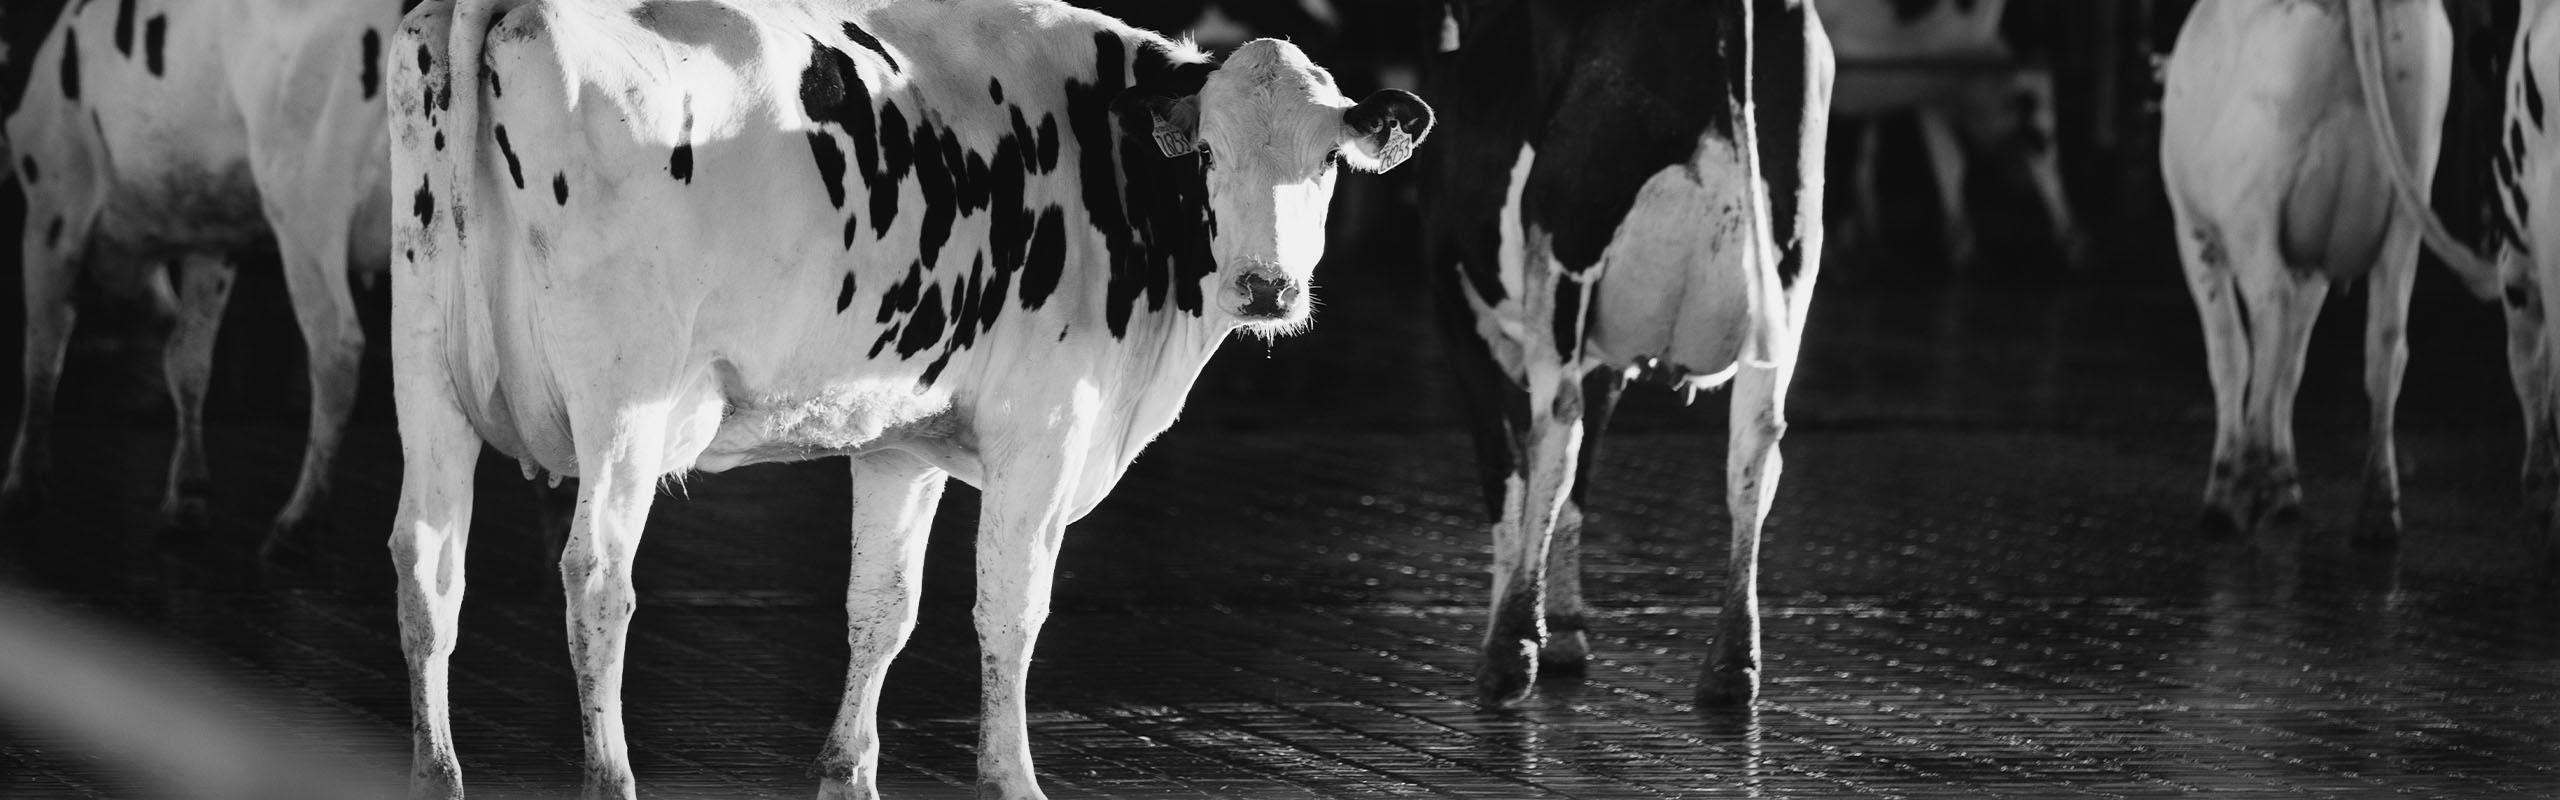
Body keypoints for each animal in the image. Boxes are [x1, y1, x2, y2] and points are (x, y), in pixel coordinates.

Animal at [4, 0, 402, 553]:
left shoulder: (53, 197)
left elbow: (43, 347)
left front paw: (24, 482)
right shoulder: (209, 234)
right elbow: (186, 356)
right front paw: (187, 498)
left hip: (302, 201)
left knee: (335, 347)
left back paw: (298, 521)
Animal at [386, 0, 1430, 797]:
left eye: (1327, 163)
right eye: (1206, 155)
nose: (1267, 289)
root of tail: (511, 8)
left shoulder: (898, 439)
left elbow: (882, 607)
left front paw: (848, 771)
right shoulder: (1045, 433)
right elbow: (1010, 607)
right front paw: (1013, 776)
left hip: (426, 373)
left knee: (427, 565)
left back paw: (437, 773)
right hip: (625, 403)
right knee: (597, 577)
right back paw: (611, 777)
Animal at [1422, 0, 1831, 708]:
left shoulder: (1453, 289)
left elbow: (1506, 469)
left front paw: (1527, 625)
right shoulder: (1607, 351)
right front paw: (1564, 628)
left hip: (1566, 238)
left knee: (1556, 429)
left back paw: (1509, 652)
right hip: (1790, 266)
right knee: (1755, 446)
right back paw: (1732, 666)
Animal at [2160, 0, 2501, 541]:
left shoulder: (2194, 229)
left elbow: (2231, 355)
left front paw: (2232, 486)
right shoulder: (2314, 263)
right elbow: (2293, 366)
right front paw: (2285, 485)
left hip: (2250, 209)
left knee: (2270, 316)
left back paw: (2241, 489)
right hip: (2407, 206)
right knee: (2385, 343)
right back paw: (2377, 510)